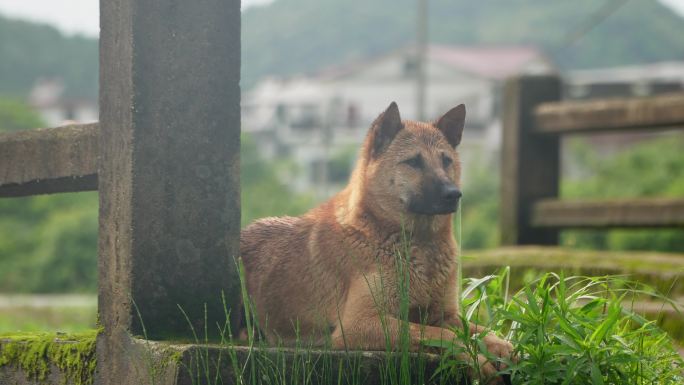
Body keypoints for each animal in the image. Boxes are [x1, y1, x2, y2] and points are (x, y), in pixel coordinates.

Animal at [240, 101, 512, 380]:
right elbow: (444, 336)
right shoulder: (359, 325)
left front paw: (501, 347)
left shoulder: (445, 315)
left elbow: (481, 331)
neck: (417, 244)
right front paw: (479, 362)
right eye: (413, 161)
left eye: (446, 160)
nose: (454, 194)